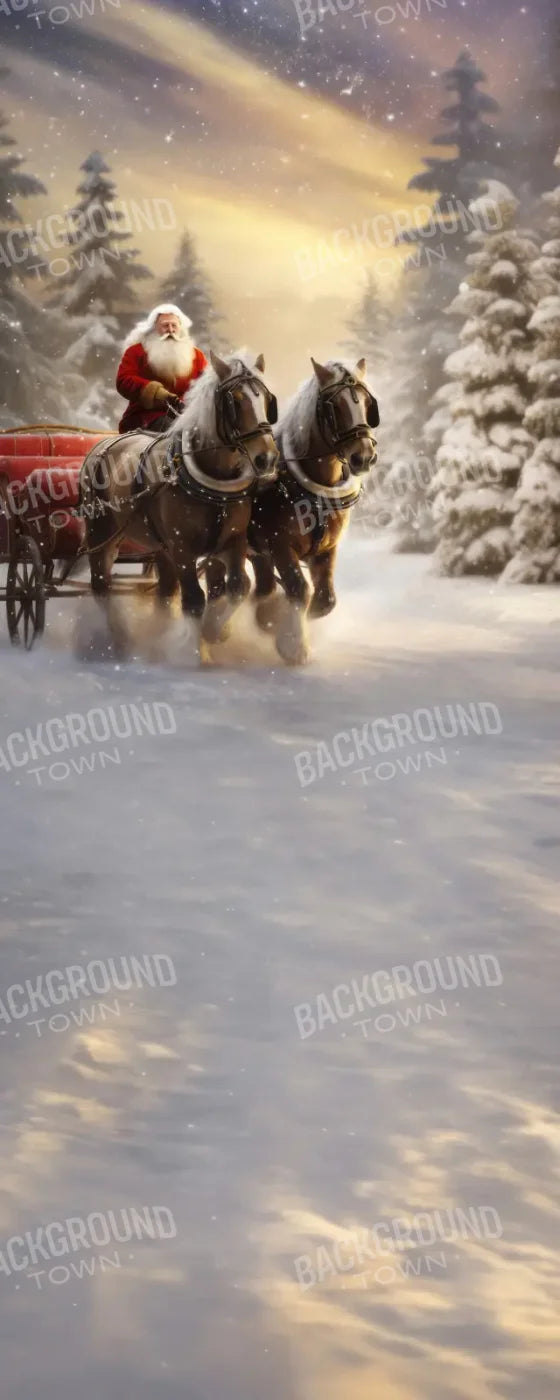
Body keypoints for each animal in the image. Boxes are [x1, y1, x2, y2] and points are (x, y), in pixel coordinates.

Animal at [79, 351, 279, 646]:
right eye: (235, 401)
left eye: (267, 400)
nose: (267, 458)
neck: (214, 485)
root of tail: (100, 446)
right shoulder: (182, 549)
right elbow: (194, 600)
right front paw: (198, 648)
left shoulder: (233, 541)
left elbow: (238, 587)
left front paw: (215, 630)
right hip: (101, 532)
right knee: (102, 585)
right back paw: (118, 638)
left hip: (158, 547)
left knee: (164, 590)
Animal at [249, 357, 379, 664]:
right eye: (335, 408)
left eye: (368, 403)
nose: (364, 457)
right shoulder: (279, 546)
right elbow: (299, 589)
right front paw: (294, 645)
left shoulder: (327, 548)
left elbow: (324, 600)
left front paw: (280, 623)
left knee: (262, 586)